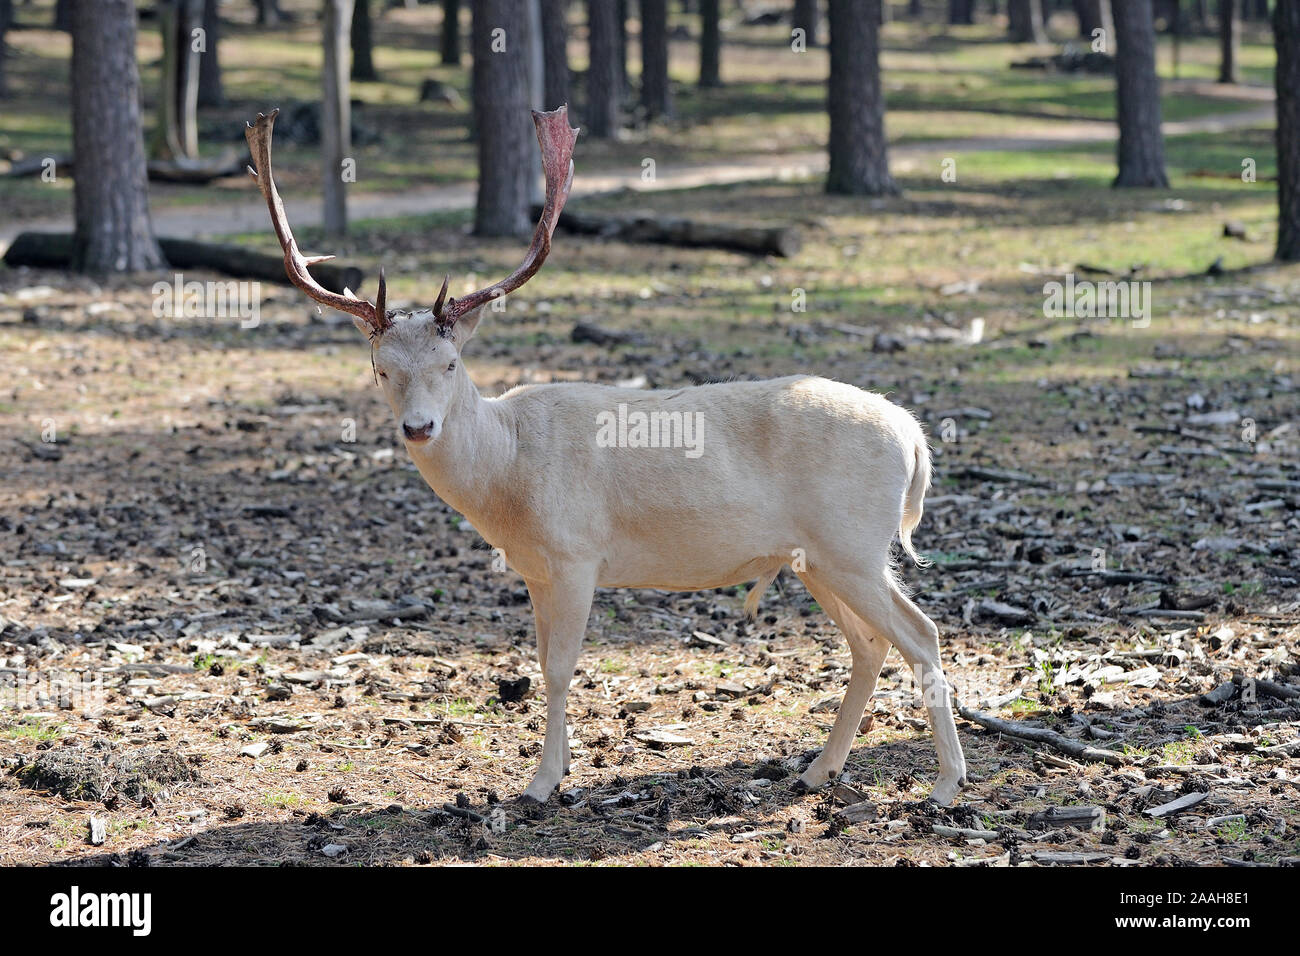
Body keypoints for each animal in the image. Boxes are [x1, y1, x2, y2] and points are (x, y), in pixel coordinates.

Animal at [248, 104, 972, 806]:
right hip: (816, 557)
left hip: (853, 543)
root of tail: (912, 434)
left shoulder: (576, 555)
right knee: (870, 643)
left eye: (450, 364)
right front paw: (559, 768)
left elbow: (559, 667)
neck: (508, 472)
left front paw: (542, 783)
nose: (419, 427)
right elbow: (542, 661)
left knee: (922, 632)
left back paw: (945, 784)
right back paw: (818, 771)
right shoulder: (535, 570)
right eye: (380, 370)